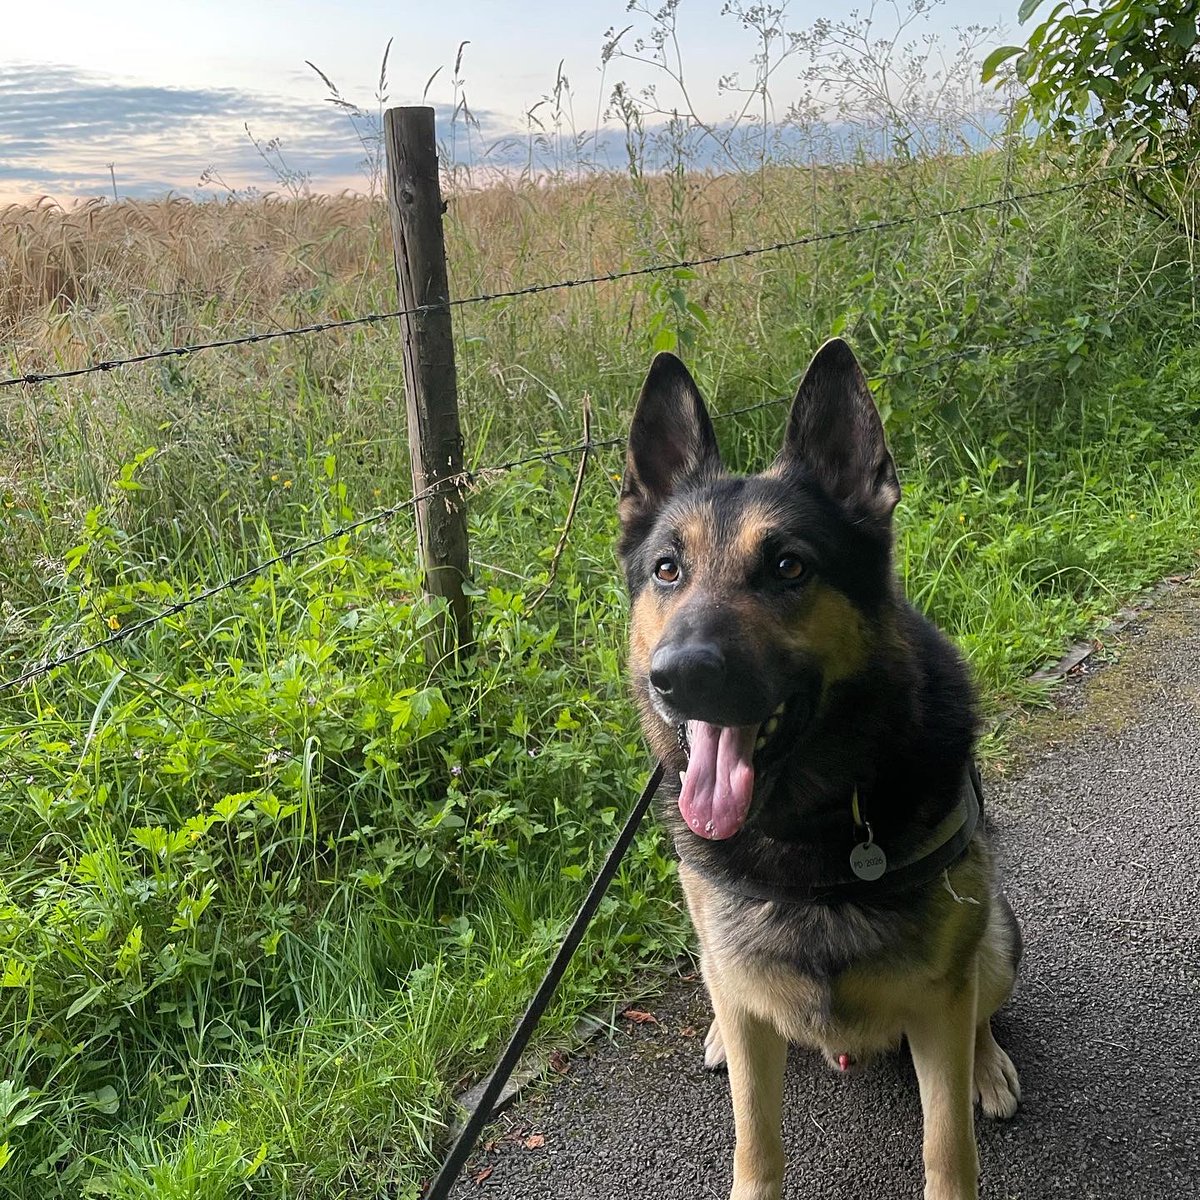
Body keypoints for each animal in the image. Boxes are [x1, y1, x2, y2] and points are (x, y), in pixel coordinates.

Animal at [619, 336, 1022, 1200]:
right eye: (667, 569)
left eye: (789, 568)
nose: (677, 676)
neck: (806, 825)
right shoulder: (747, 1011)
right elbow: (756, 1144)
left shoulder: (941, 1001)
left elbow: (949, 1146)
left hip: (996, 939)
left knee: (981, 1003)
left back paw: (989, 1065)